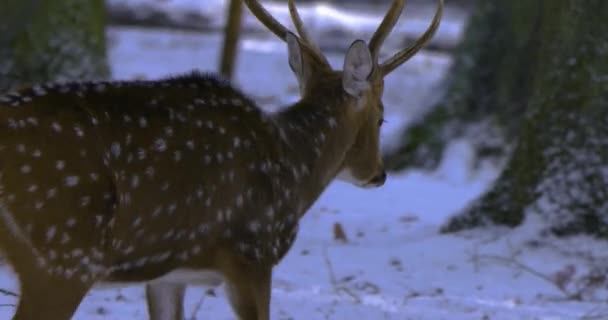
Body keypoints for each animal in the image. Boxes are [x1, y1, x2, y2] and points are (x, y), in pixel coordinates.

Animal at [0, 0, 442, 318]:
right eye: (382, 116)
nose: (378, 174)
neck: (293, 171)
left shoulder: (169, 275)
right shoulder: (252, 253)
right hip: (64, 252)